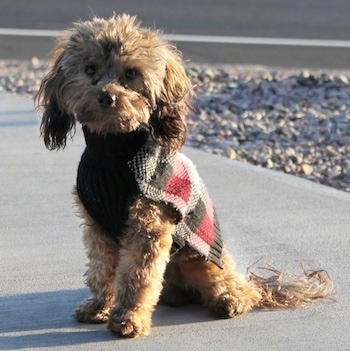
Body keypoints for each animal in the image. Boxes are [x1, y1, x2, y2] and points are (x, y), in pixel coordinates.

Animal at [36, 13, 334, 338]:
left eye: (131, 73)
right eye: (90, 69)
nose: (106, 97)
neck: (113, 151)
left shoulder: (148, 225)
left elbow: (137, 276)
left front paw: (128, 318)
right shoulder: (97, 227)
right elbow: (102, 269)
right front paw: (99, 307)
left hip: (202, 262)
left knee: (240, 289)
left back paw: (231, 301)